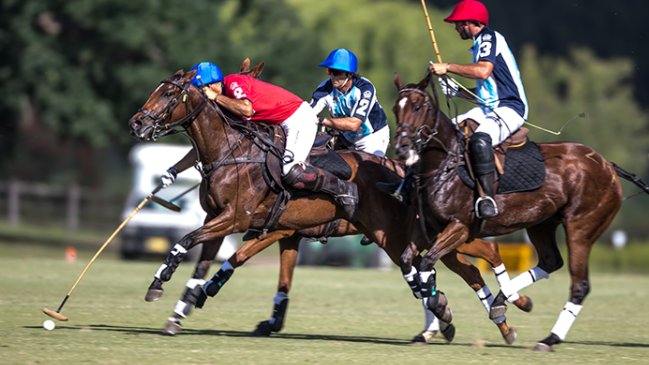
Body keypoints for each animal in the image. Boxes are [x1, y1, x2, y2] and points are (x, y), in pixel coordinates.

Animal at [126, 68, 528, 342]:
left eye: (168, 93)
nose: (136, 123)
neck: (231, 152)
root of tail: (404, 171)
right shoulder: (243, 223)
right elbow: (208, 264)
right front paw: (179, 313)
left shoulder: (238, 219)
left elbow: (186, 242)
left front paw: (158, 283)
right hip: (414, 235)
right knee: (451, 268)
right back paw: (469, 319)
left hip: (399, 234)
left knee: (454, 262)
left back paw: (481, 311)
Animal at [390, 72, 648, 350]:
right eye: (396, 108)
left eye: (418, 106)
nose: (402, 147)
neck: (442, 164)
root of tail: (607, 164)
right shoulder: (427, 227)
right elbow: (407, 261)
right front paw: (436, 305)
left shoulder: (459, 227)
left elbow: (427, 262)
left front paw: (440, 306)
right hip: (541, 224)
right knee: (551, 262)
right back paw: (506, 300)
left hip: (581, 227)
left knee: (580, 284)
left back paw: (549, 337)